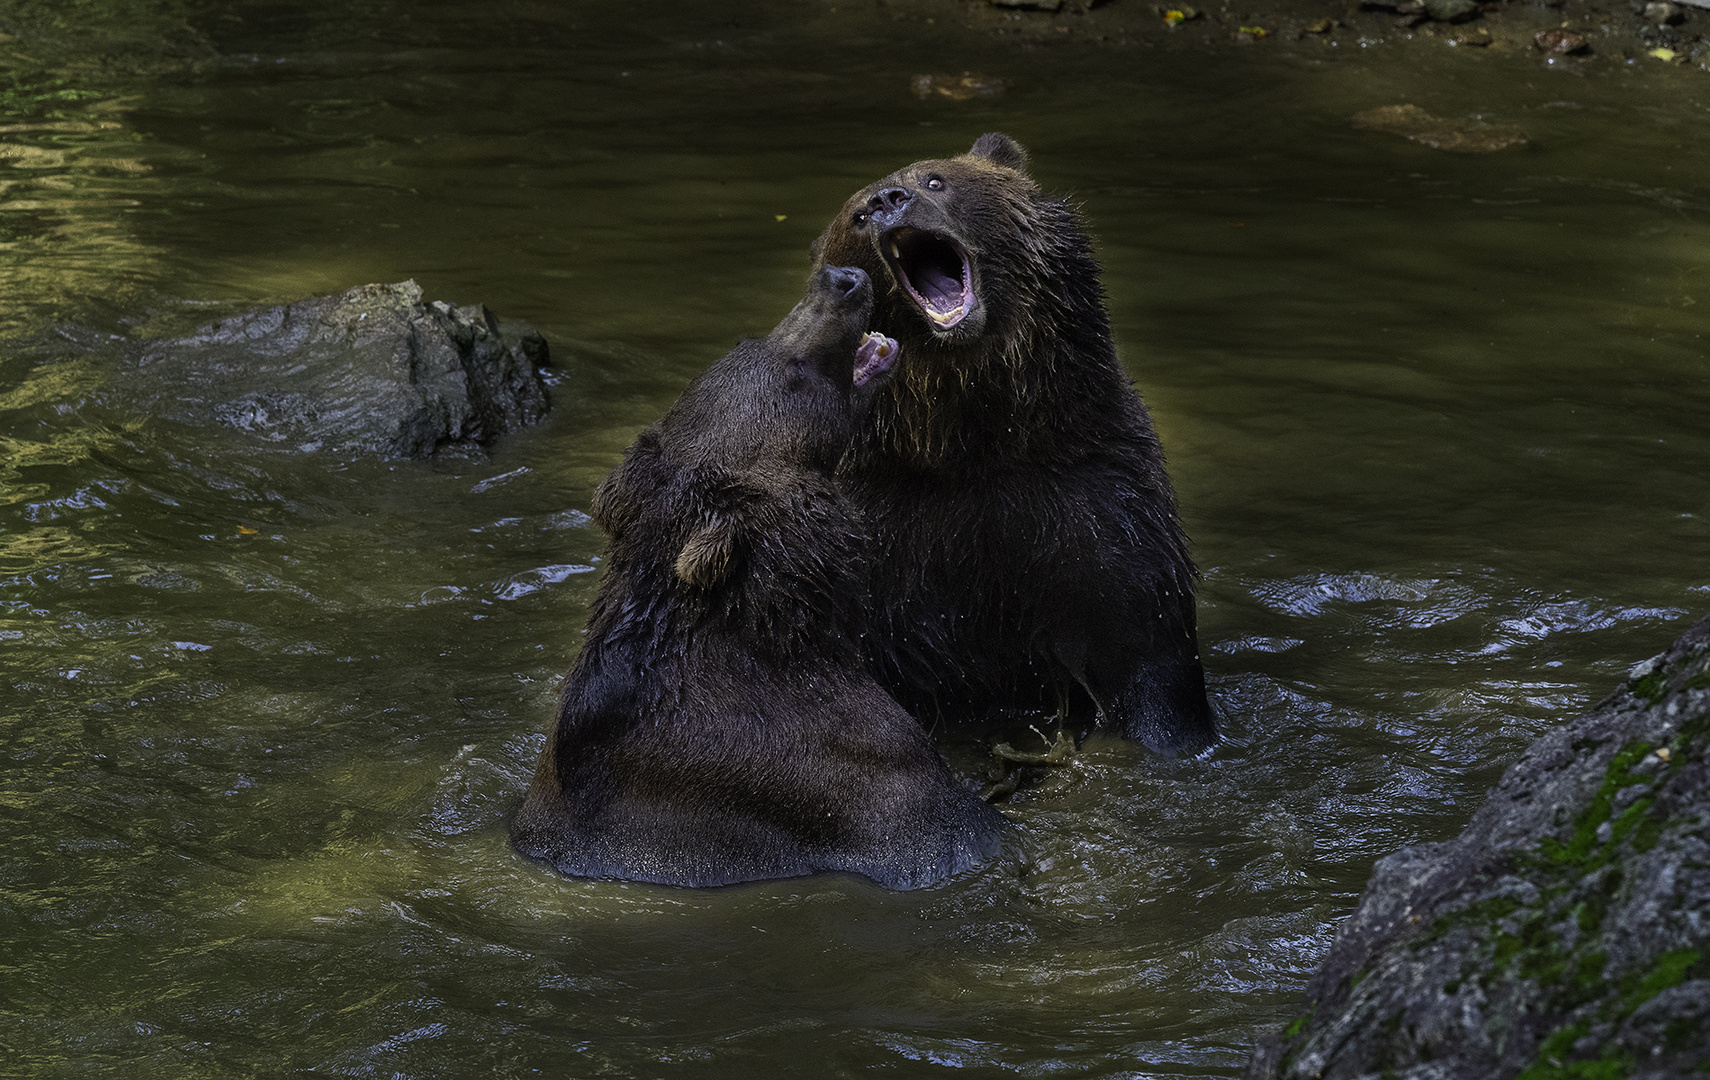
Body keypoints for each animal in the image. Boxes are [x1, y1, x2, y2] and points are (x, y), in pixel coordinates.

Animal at [810, 133, 1224, 758]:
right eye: (857, 215)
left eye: (935, 179)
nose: (886, 199)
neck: (966, 435)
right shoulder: (879, 536)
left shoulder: (1093, 498)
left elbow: (1145, 652)